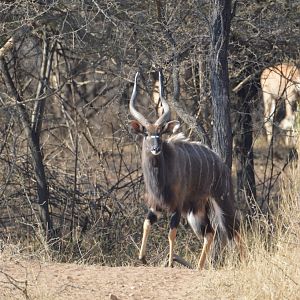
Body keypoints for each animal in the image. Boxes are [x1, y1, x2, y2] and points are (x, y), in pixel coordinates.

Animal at [129, 71, 244, 270]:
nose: (156, 148)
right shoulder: (156, 206)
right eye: (146, 134)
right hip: (196, 211)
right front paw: (142, 258)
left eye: (160, 133)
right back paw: (199, 267)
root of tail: (220, 163)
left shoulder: (177, 206)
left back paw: (245, 260)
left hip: (221, 200)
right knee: (210, 232)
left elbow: (171, 232)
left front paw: (169, 263)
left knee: (234, 227)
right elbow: (146, 223)